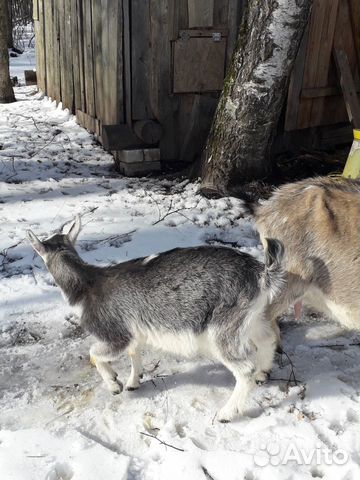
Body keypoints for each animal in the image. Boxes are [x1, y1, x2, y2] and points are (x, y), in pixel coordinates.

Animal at [26, 216, 284, 422]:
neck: (86, 286)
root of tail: (260, 273)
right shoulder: (136, 330)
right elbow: (134, 352)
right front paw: (133, 381)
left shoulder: (115, 333)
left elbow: (94, 353)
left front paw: (114, 384)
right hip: (251, 318)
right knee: (268, 339)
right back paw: (263, 373)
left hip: (223, 329)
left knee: (244, 368)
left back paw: (226, 413)